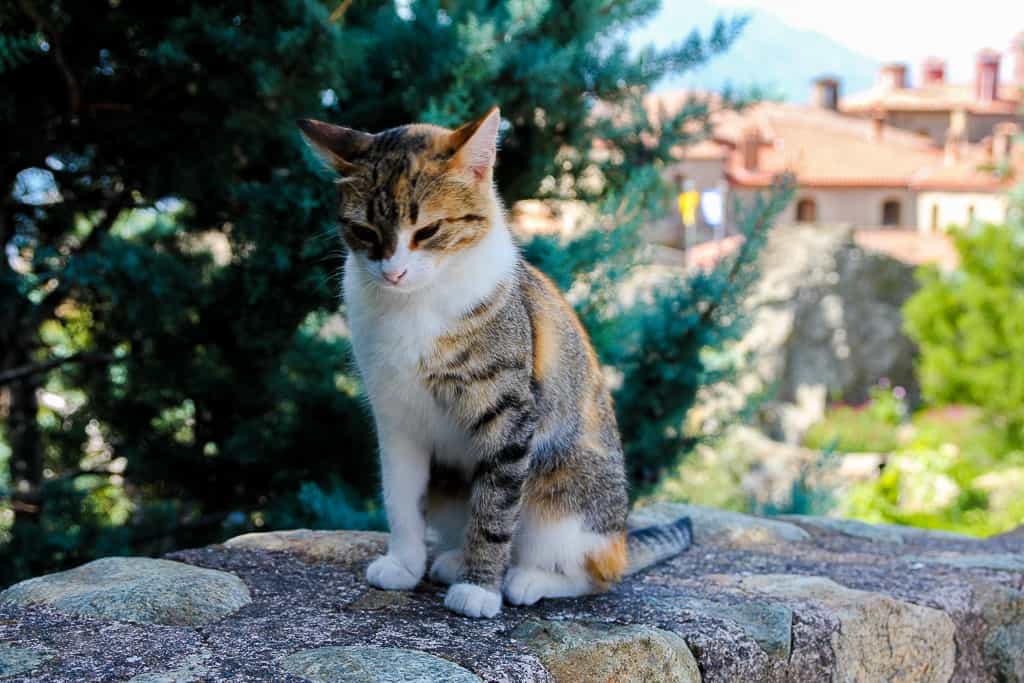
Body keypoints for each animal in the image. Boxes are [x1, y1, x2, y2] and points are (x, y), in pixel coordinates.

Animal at [299, 107, 692, 618]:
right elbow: (400, 499)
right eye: (364, 232)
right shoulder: (395, 416)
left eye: (427, 231)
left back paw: (525, 578)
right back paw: (452, 560)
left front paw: (480, 588)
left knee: (597, 572)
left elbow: (495, 508)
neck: (414, 305)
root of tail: (622, 533)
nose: (394, 272)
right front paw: (403, 564)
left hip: (565, 502)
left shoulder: (509, 415)